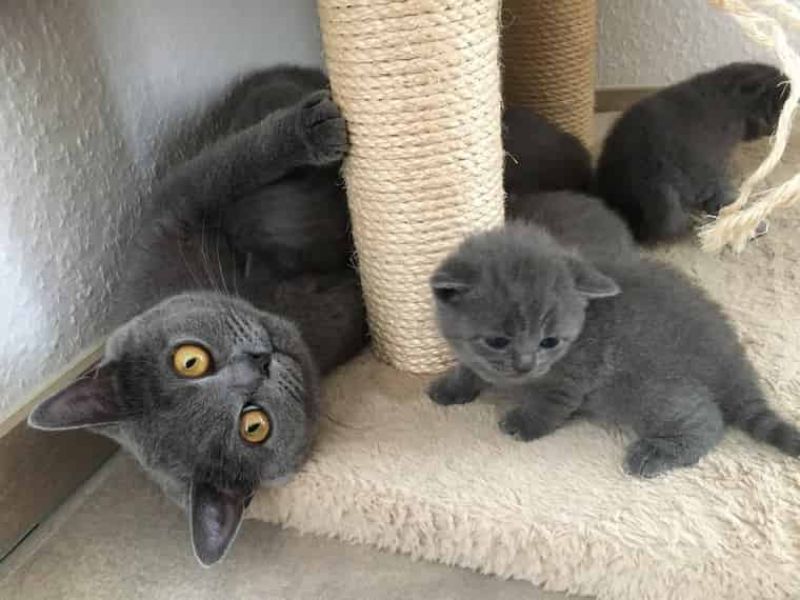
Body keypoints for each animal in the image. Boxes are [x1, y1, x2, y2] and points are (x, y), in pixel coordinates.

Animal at [28, 66, 367, 565]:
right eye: (254, 426)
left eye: (189, 360)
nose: (258, 364)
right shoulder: (337, 325)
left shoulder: (173, 212)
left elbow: (234, 163)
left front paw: (310, 129)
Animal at [428, 223, 800, 477]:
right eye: (498, 341)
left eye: (550, 341)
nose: (525, 363)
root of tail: (731, 361)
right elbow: (469, 368)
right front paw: (450, 387)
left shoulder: (573, 378)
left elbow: (549, 404)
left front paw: (525, 423)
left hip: (644, 390)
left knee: (708, 420)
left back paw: (656, 452)